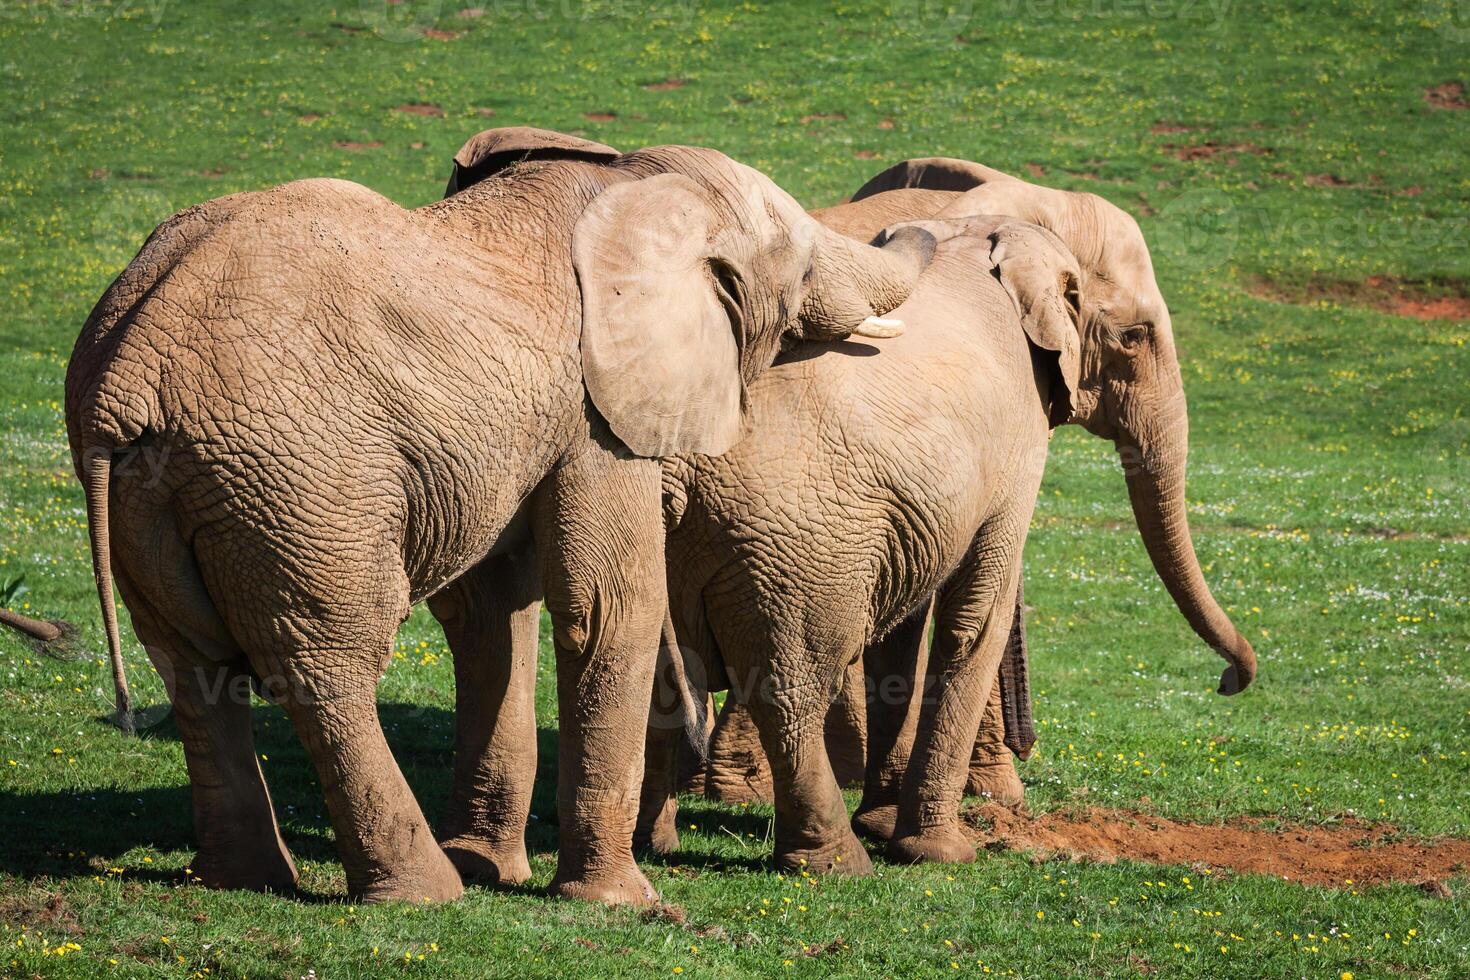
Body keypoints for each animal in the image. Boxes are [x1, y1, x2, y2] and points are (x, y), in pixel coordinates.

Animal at [63, 126, 929, 910]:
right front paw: (621, 904)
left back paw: (246, 880)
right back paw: (421, 895)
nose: (913, 227)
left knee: (193, 667)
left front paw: (492, 869)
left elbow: (491, 613)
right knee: (328, 662)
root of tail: (127, 372)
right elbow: (606, 605)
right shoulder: (597, 413)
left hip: (171, 488)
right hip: (298, 479)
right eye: (801, 265)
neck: (634, 182)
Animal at [626, 164, 1258, 869]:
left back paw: (652, 843)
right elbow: (978, 610)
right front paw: (940, 852)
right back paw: (836, 862)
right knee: (794, 682)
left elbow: (901, 629)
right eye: (1135, 335)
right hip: (789, 538)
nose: (1230, 681)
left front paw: (884, 823)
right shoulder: (1017, 436)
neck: (992, 229)